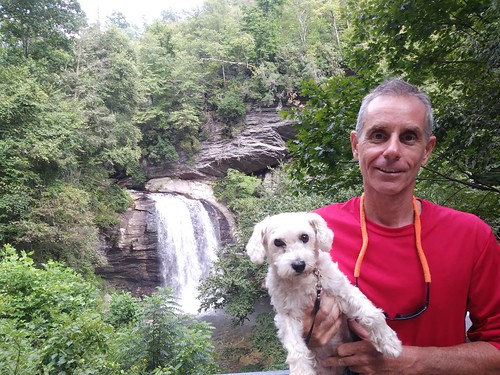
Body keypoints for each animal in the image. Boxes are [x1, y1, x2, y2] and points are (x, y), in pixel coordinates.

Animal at [246, 213, 402, 374]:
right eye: (277, 242)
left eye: (304, 237)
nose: (299, 264)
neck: (305, 280)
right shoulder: (286, 315)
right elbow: (296, 348)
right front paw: (302, 370)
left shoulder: (342, 290)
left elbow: (371, 314)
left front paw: (389, 341)